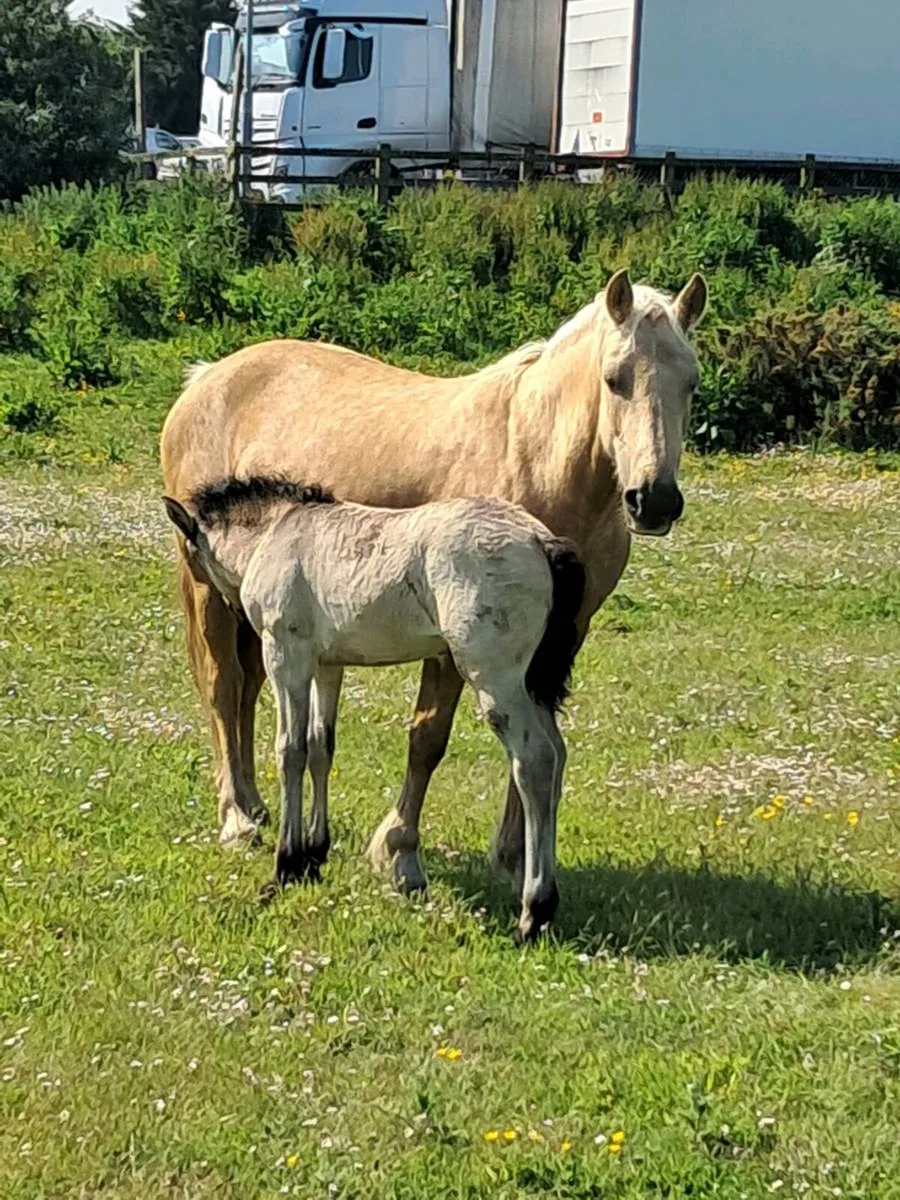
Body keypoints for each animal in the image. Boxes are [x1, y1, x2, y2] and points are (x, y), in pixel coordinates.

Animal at [160, 268, 707, 886]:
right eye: (614, 379)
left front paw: (514, 856)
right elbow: (427, 737)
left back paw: (255, 806)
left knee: (250, 689)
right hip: (208, 593)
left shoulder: (561, 637)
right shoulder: (451, 649)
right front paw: (398, 850)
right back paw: (237, 819)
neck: (532, 457)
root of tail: (206, 376)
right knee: (224, 688)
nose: (653, 500)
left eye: (691, 382)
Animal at [162, 476, 586, 943]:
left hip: (497, 679)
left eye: (192, 556)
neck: (280, 532)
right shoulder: (327, 664)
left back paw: (533, 913)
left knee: (535, 762)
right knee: (558, 755)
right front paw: (314, 855)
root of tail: (542, 541)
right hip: (533, 685)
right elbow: (320, 746)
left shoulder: (286, 655)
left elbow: (290, 751)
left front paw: (286, 866)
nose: (232, 611)